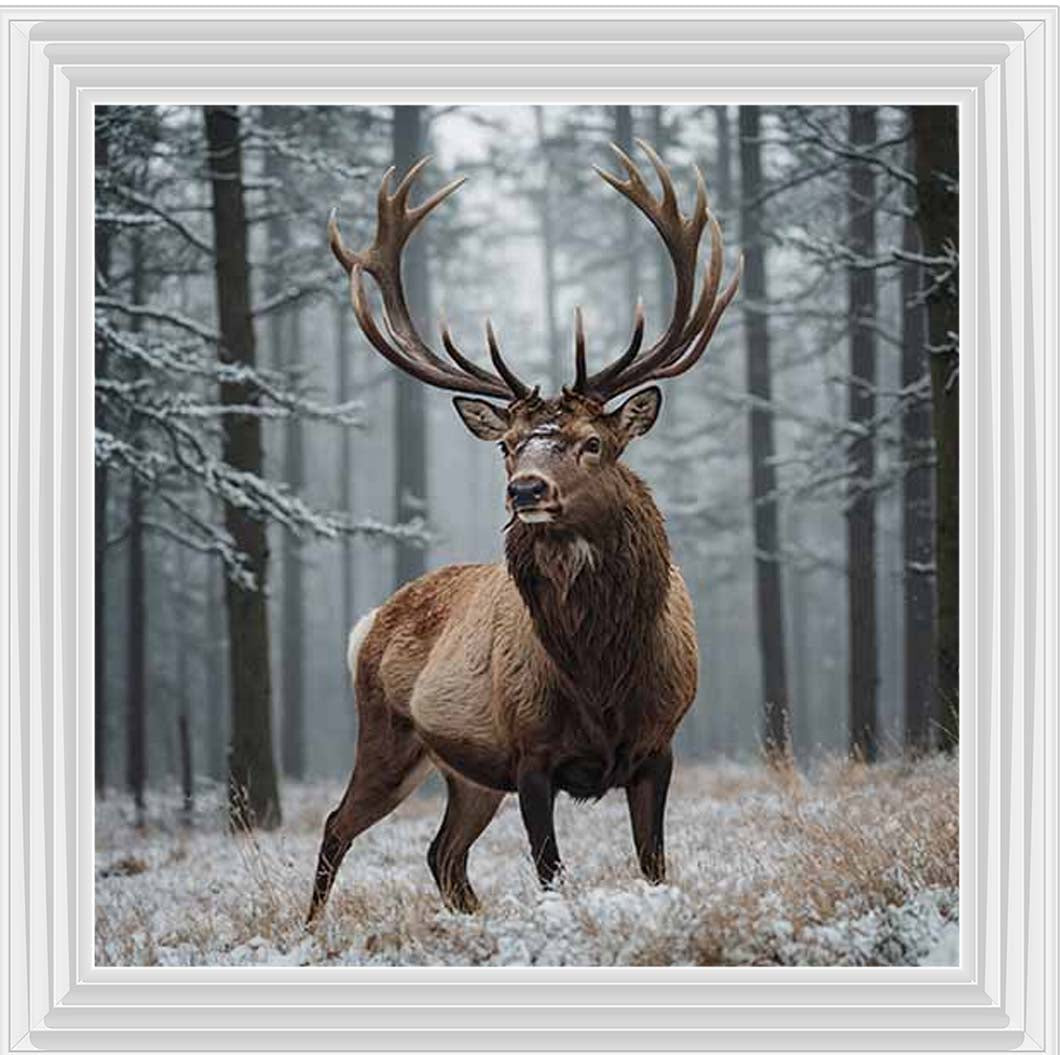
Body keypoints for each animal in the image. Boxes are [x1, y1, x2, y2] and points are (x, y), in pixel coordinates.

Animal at [307, 140, 741, 923]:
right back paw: (312, 929)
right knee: (337, 824)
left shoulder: (660, 745)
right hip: (389, 735)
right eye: (508, 446)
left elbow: (654, 864)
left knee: (442, 854)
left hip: (468, 775)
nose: (526, 490)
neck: (602, 676)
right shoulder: (530, 753)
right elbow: (550, 871)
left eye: (594, 442)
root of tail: (370, 621)